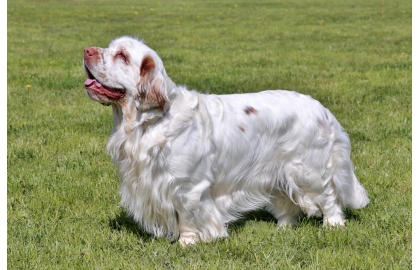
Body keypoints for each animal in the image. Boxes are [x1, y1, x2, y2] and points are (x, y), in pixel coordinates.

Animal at [82, 35, 368, 245]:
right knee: (287, 201)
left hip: (308, 170)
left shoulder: (188, 187)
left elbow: (187, 217)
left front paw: (187, 243)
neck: (149, 122)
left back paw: (333, 225)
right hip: (278, 171)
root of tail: (323, 110)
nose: (86, 51)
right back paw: (283, 228)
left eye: (122, 55)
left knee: (329, 196)